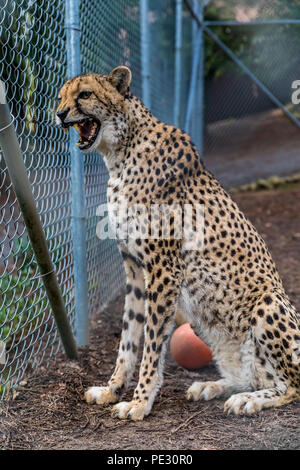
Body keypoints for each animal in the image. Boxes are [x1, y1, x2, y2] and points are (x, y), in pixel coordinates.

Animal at [56, 65, 300, 418]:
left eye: (85, 94)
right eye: (60, 97)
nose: (60, 114)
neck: (120, 152)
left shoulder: (163, 270)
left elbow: (152, 344)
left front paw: (140, 401)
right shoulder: (135, 269)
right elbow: (128, 338)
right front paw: (112, 389)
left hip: (266, 302)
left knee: (291, 386)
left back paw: (248, 400)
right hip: (201, 313)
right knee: (251, 377)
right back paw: (213, 386)